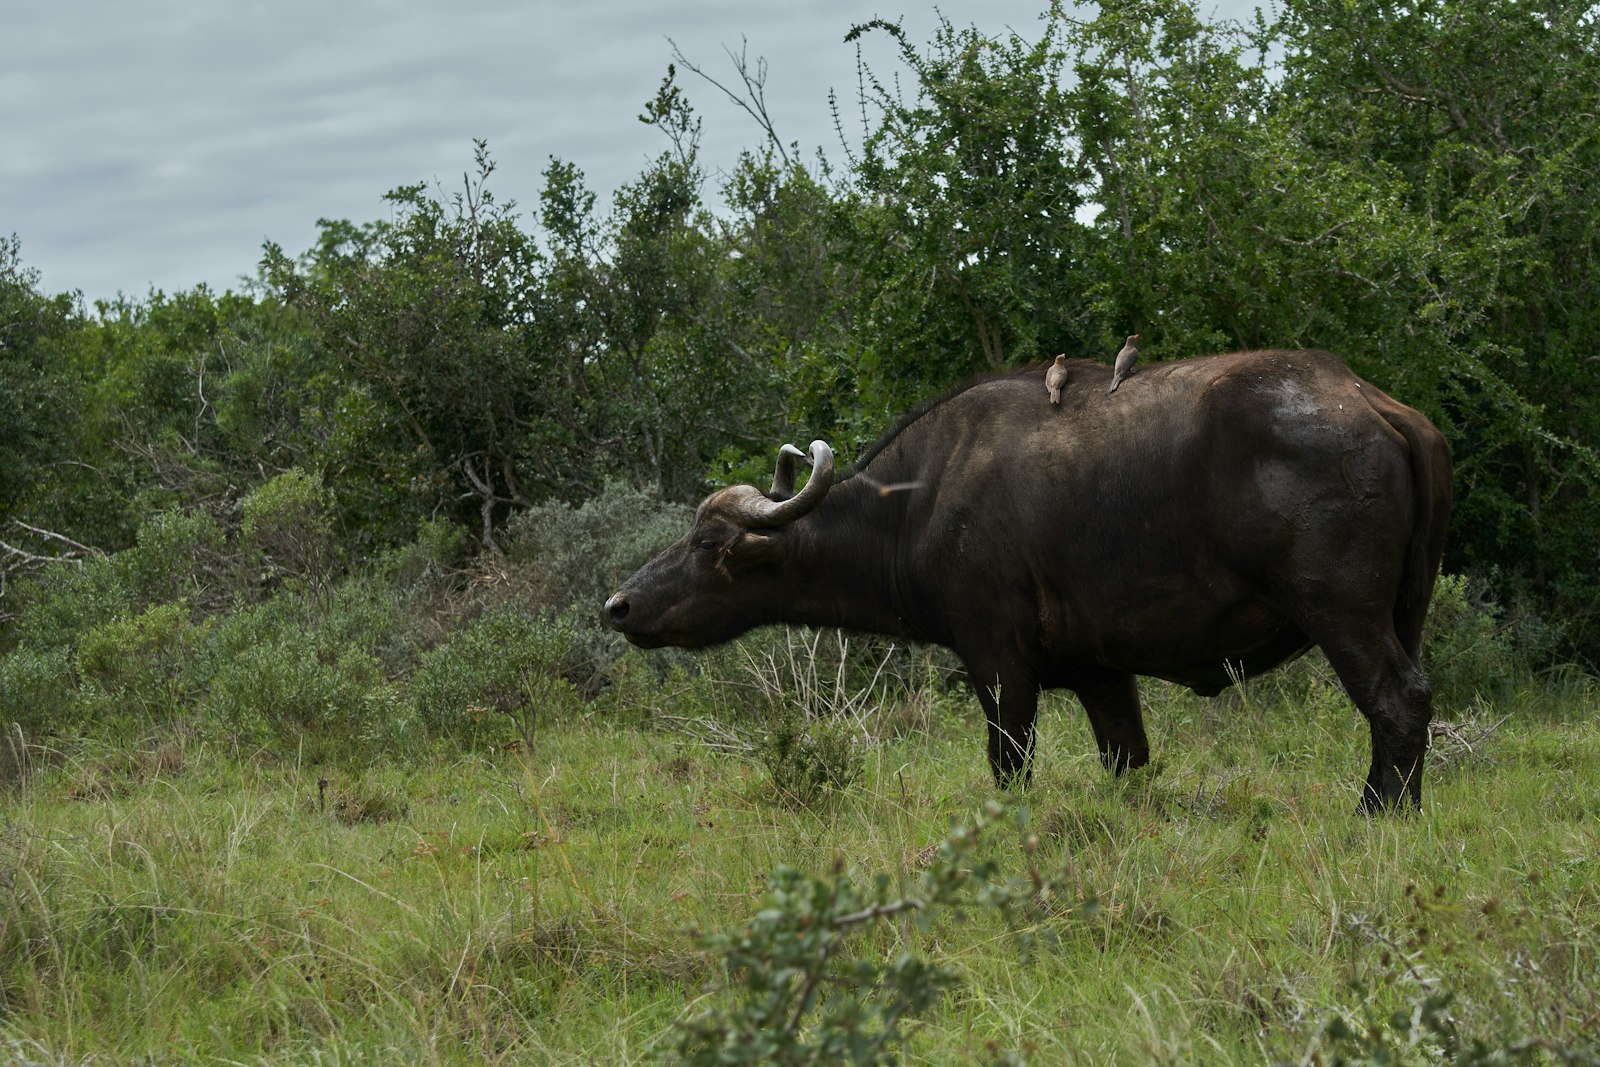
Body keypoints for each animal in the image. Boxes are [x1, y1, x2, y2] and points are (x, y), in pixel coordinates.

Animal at [606, 349, 1451, 811]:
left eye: (708, 541)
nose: (619, 603)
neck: (919, 500)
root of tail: (1375, 404)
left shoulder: (997, 662)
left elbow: (1008, 763)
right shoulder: (1104, 673)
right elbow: (1127, 758)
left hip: (1343, 614)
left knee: (1398, 703)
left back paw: (1376, 814)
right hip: (1406, 613)